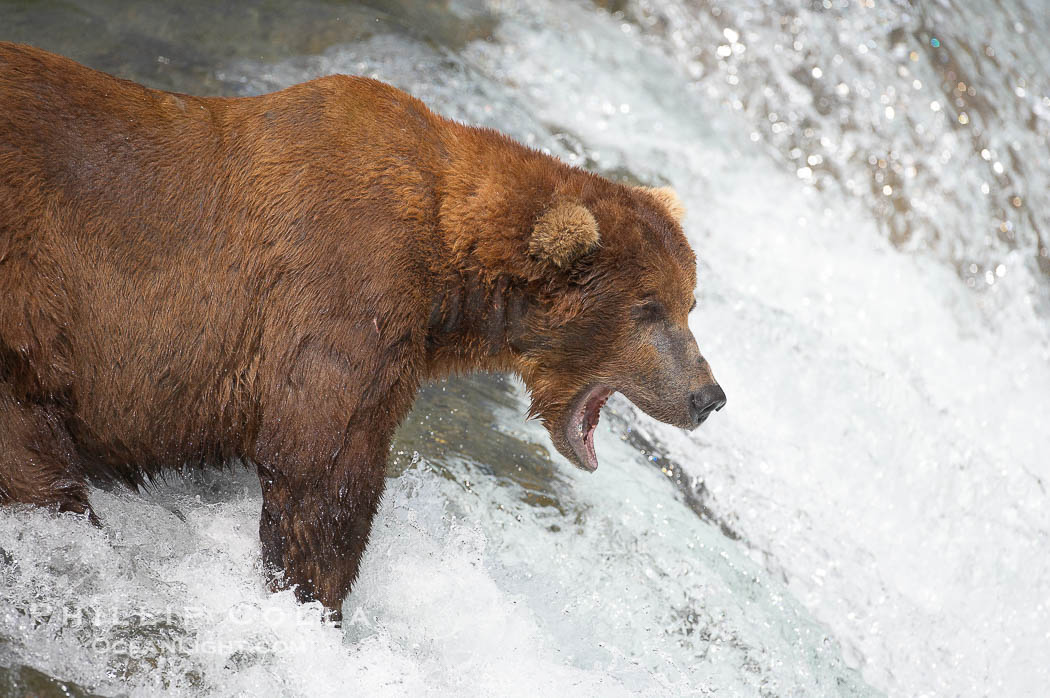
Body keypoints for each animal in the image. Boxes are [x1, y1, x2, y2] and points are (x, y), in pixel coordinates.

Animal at [0, 42, 726, 618]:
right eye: (649, 308)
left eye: (690, 302)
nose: (708, 396)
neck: (448, 276)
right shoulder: (345, 290)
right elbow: (321, 467)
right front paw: (314, 601)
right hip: (31, 302)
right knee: (36, 457)